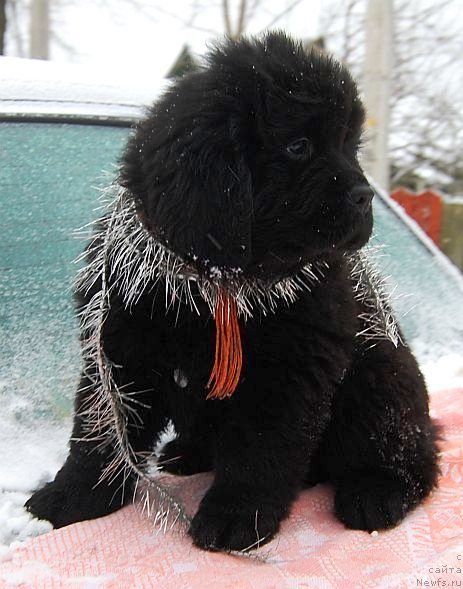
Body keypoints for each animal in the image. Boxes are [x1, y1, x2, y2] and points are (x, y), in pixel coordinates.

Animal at [27, 33, 440, 552]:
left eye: (352, 146)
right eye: (299, 146)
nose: (365, 197)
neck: (215, 281)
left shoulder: (289, 369)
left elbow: (260, 448)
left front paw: (235, 518)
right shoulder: (119, 346)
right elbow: (97, 431)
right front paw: (71, 496)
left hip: (381, 377)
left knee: (406, 451)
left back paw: (376, 493)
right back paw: (186, 454)